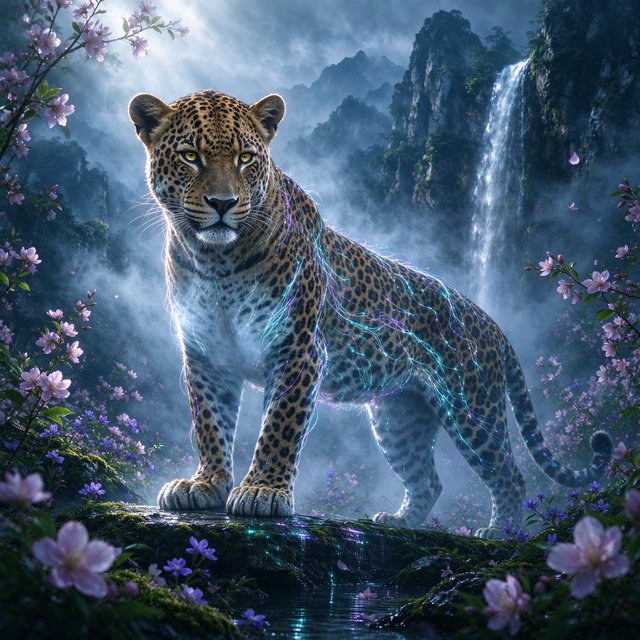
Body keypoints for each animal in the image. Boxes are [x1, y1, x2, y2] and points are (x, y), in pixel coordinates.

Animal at [129, 88, 612, 538]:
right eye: (190, 156)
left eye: (245, 158)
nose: (223, 203)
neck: (218, 260)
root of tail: (493, 323)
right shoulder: (206, 353)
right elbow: (210, 424)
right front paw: (205, 484)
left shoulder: (298, 349)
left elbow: (279, 426)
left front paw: (263, 491)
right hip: (400, 417)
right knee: (428, 481)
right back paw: (399, 522)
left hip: (473, 408)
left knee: (509, 474)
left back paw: (500, 532)